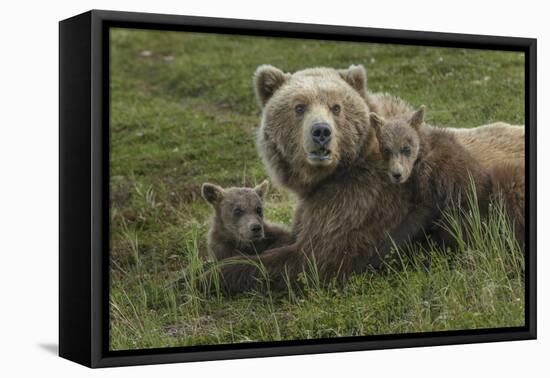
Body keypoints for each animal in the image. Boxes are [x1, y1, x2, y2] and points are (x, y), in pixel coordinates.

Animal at [217, 64, 528, 292]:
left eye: (336, 107)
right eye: (299, 107)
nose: (321, 132)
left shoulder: (362, 199)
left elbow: (314, 258)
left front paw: (210, 274)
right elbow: (291, 234)